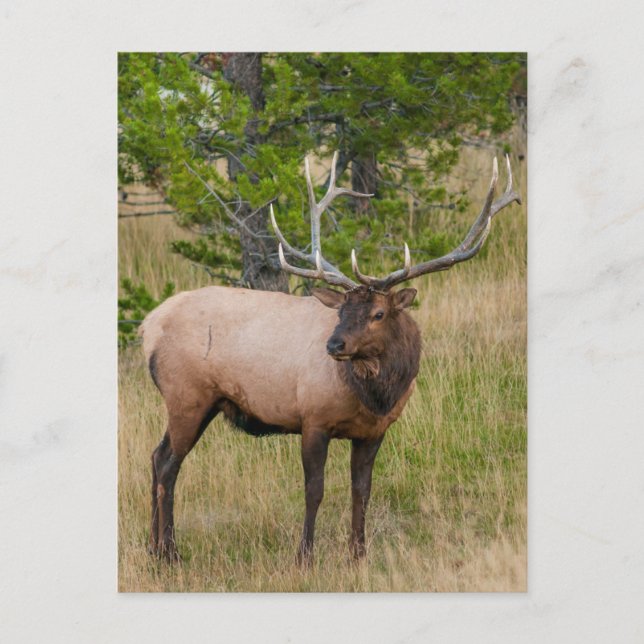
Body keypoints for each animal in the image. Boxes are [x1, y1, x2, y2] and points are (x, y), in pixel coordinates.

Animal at [139, 151, 521, 564]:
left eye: (378, 313)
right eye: (341, 310)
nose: (334, 345)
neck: (375, 395)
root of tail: (148, 327)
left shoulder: (374, 431)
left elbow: (362, 490)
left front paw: (359, 554)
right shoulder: (313, 419)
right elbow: (315, 490)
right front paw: (304, 556)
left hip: (199, 402)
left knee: (156, 457)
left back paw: (152, 548)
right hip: (187, 396)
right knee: (167, 465)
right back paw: (169, 552)